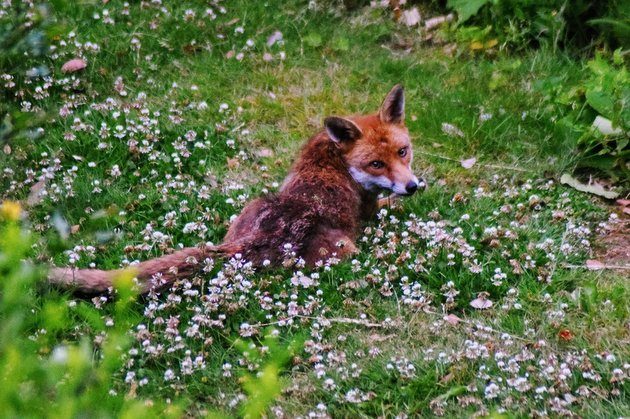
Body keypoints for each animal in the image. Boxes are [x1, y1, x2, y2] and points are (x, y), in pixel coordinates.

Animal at [49, 85, 424, 296]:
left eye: (403, 152)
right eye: (376, 164)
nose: (411, 186)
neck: (334, 156)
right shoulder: (370, 209)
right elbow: (389, 207)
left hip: (250, 207)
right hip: (345, 248)